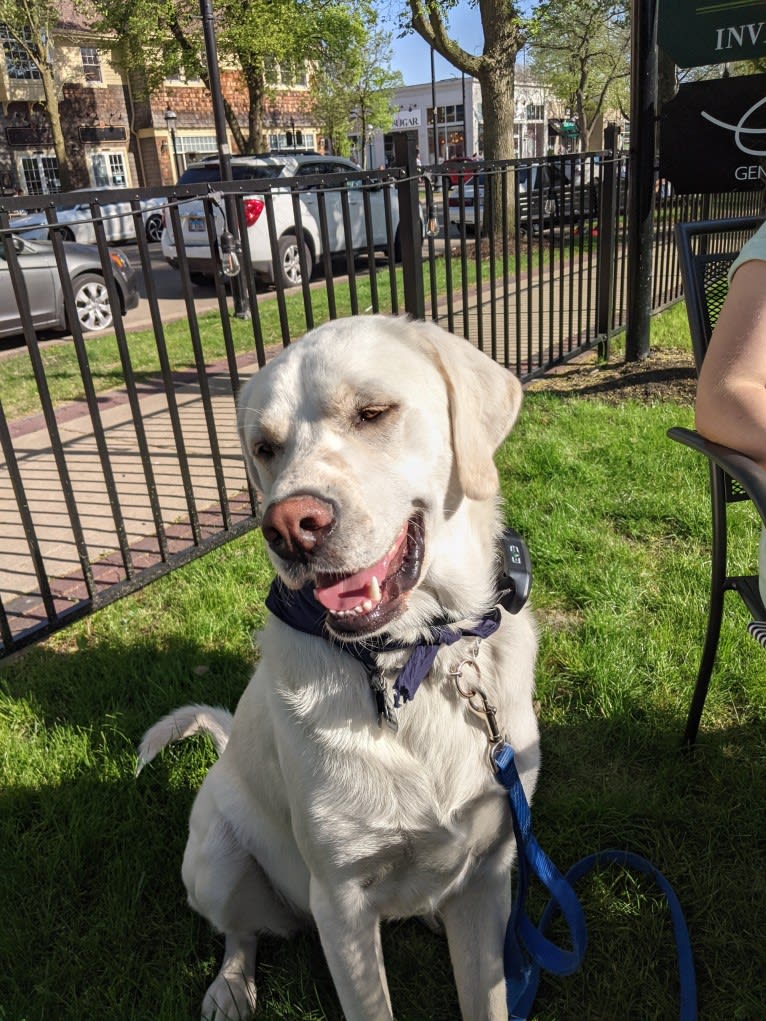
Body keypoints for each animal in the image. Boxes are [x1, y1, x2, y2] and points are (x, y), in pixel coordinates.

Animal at [140, 314, 543, 1016]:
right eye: (264, 447)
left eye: (373, 412)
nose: (288, 526)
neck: (411, 659)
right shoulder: (342, 903)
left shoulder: (492, 872)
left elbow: (486, 996)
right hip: (215, 859)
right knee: (241, 931)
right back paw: (230, 985)